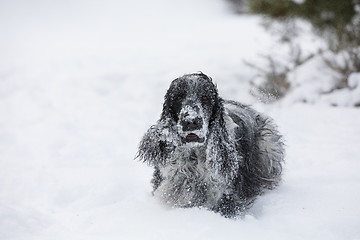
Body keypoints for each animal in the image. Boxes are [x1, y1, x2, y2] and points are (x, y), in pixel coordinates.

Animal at [136, 72, 286, 217]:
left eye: (205, 98)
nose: (191, 121)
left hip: (268, 144)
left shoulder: (226, 199)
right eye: (178, 97)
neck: (194, 158)